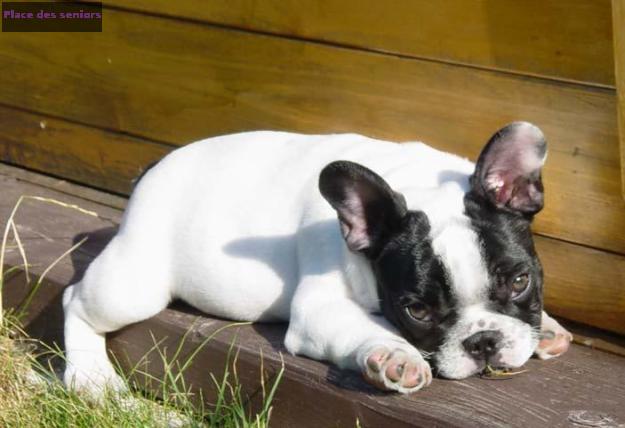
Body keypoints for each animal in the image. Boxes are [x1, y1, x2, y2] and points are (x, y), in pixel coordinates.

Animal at [62, 121, 572, 394]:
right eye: (417, 311)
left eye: (520, 281)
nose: (483, 341)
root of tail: (154, 167)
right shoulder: (319, 310)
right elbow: (363, 327)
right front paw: (394, 355)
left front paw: (547, 327)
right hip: (133, 284)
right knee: (75, 300)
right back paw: (90, 379)